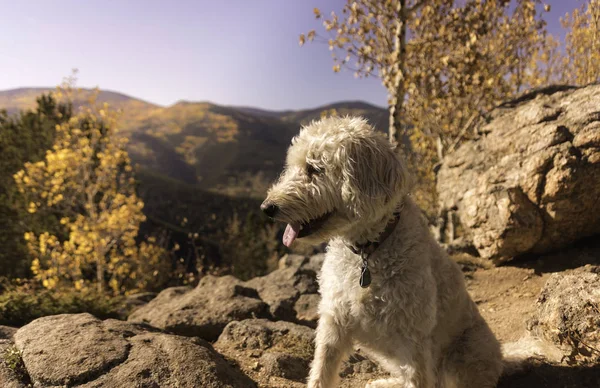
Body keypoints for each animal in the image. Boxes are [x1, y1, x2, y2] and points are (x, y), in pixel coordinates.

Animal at [262, 116, 502, 386]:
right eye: (291, 167)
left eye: (314, 168)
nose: (267, 207)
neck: (366, 251)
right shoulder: (334, 321)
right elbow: (321, 371)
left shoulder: (412, 337)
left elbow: (416, 378)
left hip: (466, 353)